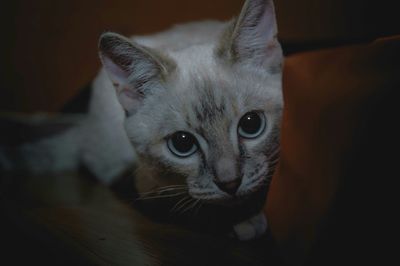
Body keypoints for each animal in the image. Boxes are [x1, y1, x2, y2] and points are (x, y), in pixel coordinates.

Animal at [96, 0, 284, 241]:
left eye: (251, 124)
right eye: (182, 143)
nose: (230, 183)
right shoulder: (146, 187)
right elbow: (186, 208)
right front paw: (245, 221)